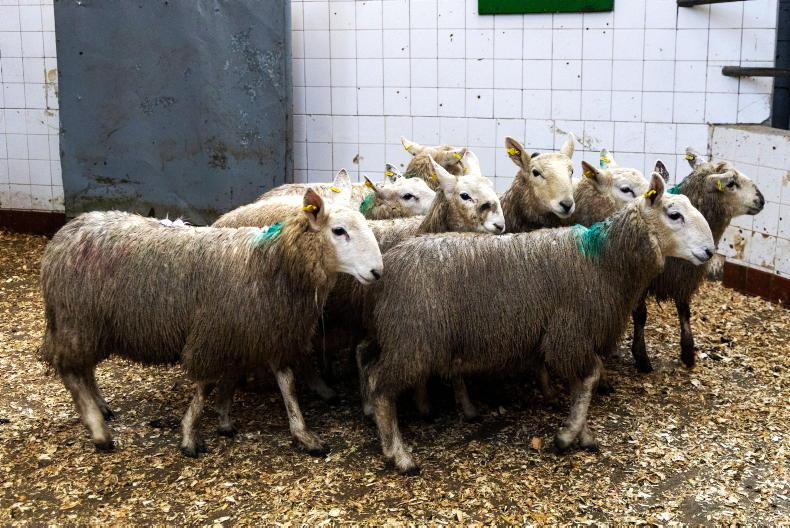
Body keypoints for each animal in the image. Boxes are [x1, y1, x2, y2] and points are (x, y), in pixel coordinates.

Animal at [39, 189, 383, 457]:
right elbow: (205, 384)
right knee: (70, 370)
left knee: (83, 368)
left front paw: (299, 433)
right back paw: (98, 430)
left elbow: (284, 384)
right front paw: (190, 434)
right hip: (78, 320)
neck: (271, 264)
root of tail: (66, 233)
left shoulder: (264, 330)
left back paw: (101, 408)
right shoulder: (214, 333)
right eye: (339, 231)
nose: (377, 272)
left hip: (86, 325)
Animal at [359, 172, 716, 474]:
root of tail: (390, 263)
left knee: (366, 359)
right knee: (379, 386)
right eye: (674, 215)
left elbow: (582, 382)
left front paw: (581, 433)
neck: (603, 260)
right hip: (413, 337)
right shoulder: (569, 332)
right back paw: (399, 455)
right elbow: (589, 378)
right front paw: (568, 435)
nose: (710, 251)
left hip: (398, 334)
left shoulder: (570, 335)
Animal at [629, 148, 765, 373]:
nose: (761, 200)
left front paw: (688, 352)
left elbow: (685, 312)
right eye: (731, 183)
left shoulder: (685, 276)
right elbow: (640, 315)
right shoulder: (640, 278)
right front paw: (641, 357)